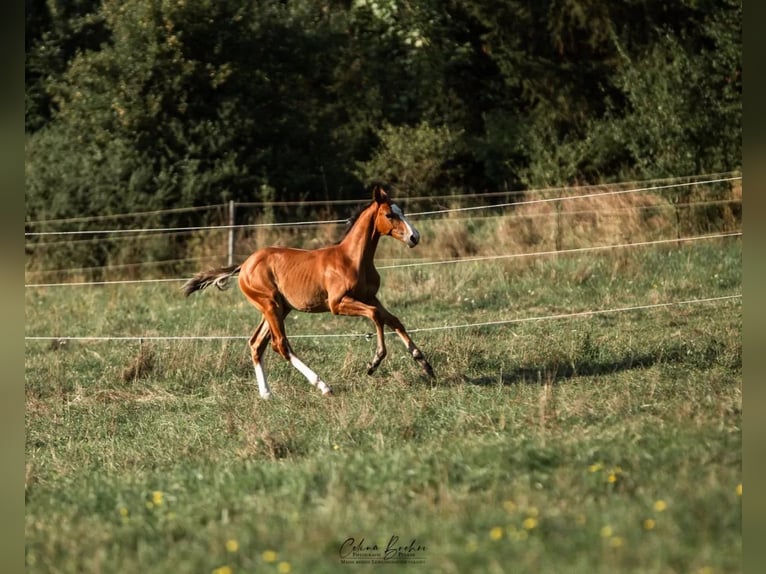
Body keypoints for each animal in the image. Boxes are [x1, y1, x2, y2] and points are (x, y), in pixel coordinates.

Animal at [183, 188, 436, 400]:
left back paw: (266, 394)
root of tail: (243, 265)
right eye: (389, 214)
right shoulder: (338, 304)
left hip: (279, 308)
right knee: (280, 345)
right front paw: (374, 362)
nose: (414, 237)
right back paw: (323, 386)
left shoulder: (369, 297)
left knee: (257, 344)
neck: (351, 259)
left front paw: (424, 364)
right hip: (270, 305)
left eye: (402, 211)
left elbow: (393, 319)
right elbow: (375, 315)